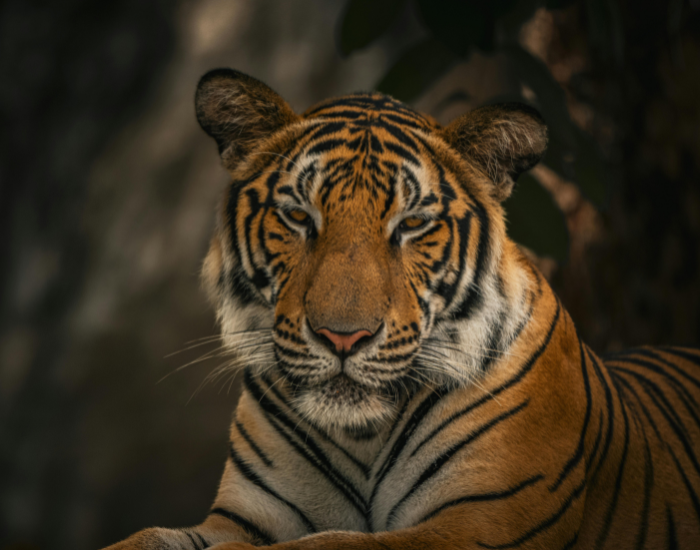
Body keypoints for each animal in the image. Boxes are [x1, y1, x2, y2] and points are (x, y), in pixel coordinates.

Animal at [103, 68, 700, 550]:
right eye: (298, 216)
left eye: (412, 224)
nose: (343, 338)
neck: (362, 436)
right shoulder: (243, 518)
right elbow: (148, 536)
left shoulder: (479, 522)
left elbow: (329, 545)